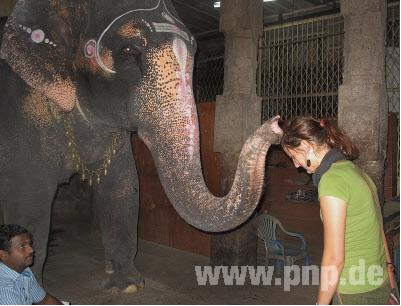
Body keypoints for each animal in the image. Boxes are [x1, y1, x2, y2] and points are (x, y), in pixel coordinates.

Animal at [0, 0, 282, 292]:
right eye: (128, 50)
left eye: (195, 50)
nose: (276, 125)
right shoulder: (21, 114)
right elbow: (29, 194)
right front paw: (32, 288)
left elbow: (123, 184)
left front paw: (128, 286)